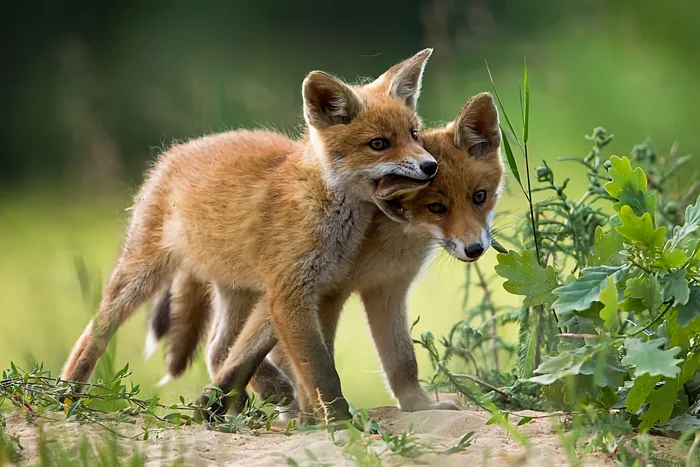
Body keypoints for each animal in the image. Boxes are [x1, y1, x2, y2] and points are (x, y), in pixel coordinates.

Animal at [59, 49, 438, 423]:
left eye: (414, 134)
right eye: (379, 144)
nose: (431, 166)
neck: (321, 206)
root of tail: (177, 150)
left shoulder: (297, 290)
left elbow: (253, 356)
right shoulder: (287, 293)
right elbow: (320, 369)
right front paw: (341, 419)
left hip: (239, 291)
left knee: (218, 348)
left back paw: (248, 398)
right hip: (143, 274)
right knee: (94, 333)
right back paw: (67, 396)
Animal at [146, 92, 505, 417]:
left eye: (480, 197)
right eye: (436, 208)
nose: (475, 248)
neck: (391, 240)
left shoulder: (387, 290)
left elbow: (402, 361)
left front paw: (418, 405)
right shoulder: (326, 294)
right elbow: (317, 363)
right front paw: (322, 416)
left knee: (221, 347)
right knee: (229, 349)